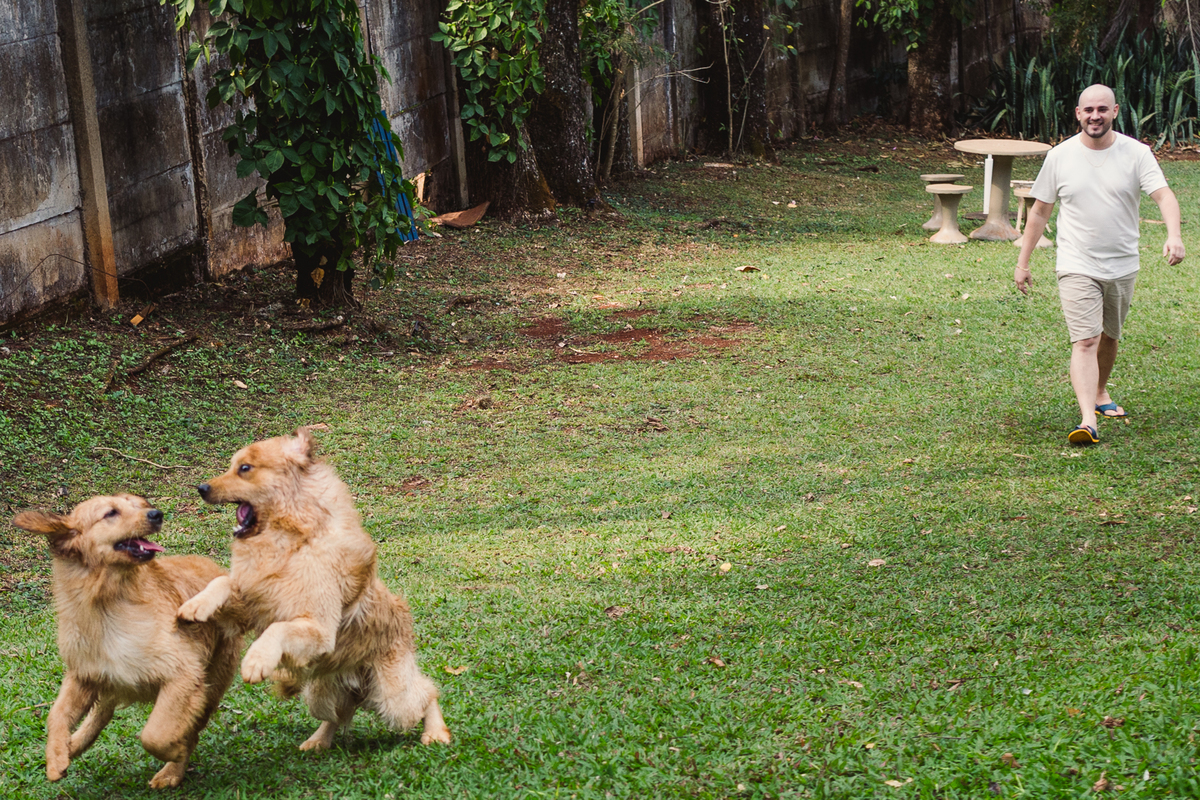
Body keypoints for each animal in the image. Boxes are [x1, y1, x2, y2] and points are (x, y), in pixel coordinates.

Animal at [13, 494, 241, 789]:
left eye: (139, 504)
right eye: (110, 513)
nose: (156, 514)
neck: (107, 603)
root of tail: (215, 567)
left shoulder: (184, 674)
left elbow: (155, 734)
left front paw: (176, 752)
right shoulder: (83, 674)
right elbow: (57, 714)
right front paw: (55, 756)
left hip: (212, 683)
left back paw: (172, 771)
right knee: (101, 714)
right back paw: (73, 745)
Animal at [178, 428, 451, 750]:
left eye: (244, 468)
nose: (201, 487)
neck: (292, 539)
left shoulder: (318, 629)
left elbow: (278, 629)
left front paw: (257, 660)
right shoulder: (253, 602)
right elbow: (223, 582)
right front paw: (196, 604)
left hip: (394, 698)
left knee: (426, 695)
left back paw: (435, 732)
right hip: (321, 692)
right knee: (337, 714)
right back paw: (318, 741)